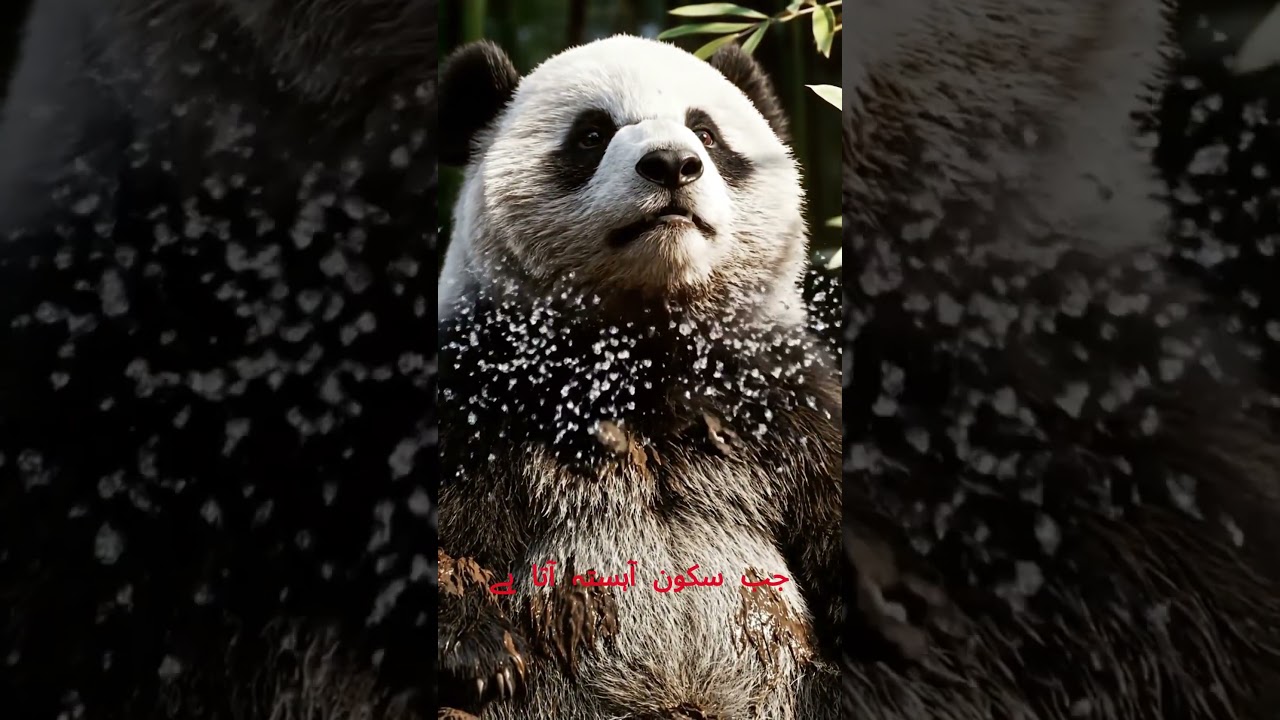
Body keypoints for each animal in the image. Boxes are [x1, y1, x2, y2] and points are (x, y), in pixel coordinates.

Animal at [436, 36, 843, 719]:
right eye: (592, 134)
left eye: (705, 131)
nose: (674, 165)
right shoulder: (483, 380)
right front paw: (482, 655)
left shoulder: (784, 394)